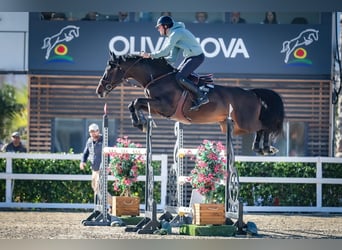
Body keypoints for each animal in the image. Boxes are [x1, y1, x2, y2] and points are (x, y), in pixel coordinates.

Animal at [95, 52, 284, 154]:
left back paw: (266, 148)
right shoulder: (158, 108)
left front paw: (139, 123)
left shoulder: (165, 106)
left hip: (245, 122)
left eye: (110, 69)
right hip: (233, 126)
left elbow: (136, 101)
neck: (158, 78)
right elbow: (134, 103)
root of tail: (252, 92)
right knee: (260, 128)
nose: (99, 90)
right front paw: (141, 123)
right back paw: (260, 148)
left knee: (264, 127)